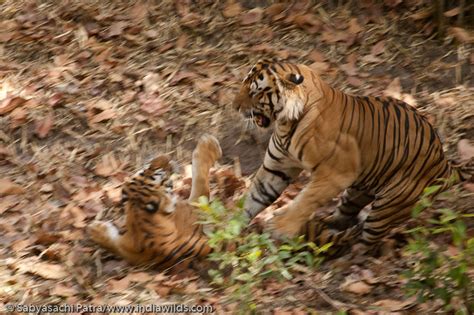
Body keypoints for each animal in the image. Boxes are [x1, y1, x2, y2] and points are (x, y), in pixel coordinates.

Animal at [87, 135, 222, 270]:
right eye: (162, 175)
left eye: (145, 169)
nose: (166, 156)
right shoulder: (195, 210)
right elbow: (200, 179)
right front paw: (208, 144)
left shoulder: (130, 249)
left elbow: (116, 246)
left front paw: (94, 230)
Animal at [233, 58, 470, 252]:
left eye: (255, 92)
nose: (234, 107)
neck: (286, 123)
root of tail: (445, 164)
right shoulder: (277, 167)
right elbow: (255, 196)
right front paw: (231, 224)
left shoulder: (336, 174)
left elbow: (305, 201)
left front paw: (280, 227)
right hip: (358, 190)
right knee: (344, 218)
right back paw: (323, 226)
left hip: (387, 207)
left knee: (363, 243)